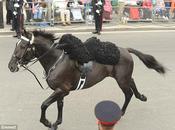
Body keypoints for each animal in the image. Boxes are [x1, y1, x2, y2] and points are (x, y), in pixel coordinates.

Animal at [7, 30, 165, 130]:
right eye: (16, 45)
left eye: (22, 46)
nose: (11, 66)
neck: (56, 60)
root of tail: (125, 50)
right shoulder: (60, 91)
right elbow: (59, 105)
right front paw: (57, 122)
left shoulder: (62, 90)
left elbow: (44, 104)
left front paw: (46, 122)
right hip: (123, 77)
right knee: (132, 82)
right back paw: (141, 96)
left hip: (121, 80)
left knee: (128, 94)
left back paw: (121, 112)